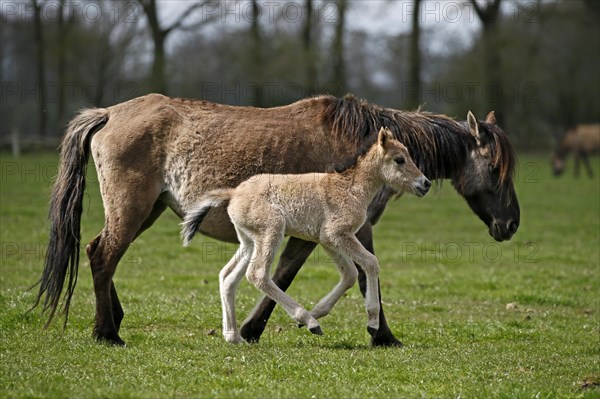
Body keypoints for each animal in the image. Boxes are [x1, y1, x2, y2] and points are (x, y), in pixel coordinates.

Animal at [34, 94, 520, 346]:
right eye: (496, 168)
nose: (511, 224)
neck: (355, 150)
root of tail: (110, 113)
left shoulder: (326, 233)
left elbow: (332, 275)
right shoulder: (336, 232)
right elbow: (335, 274)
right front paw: (378, 333)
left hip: (147, 212)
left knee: (101, 255)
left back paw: (116, 320)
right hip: (132, 209)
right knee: (103, 256)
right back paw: (106, 332)